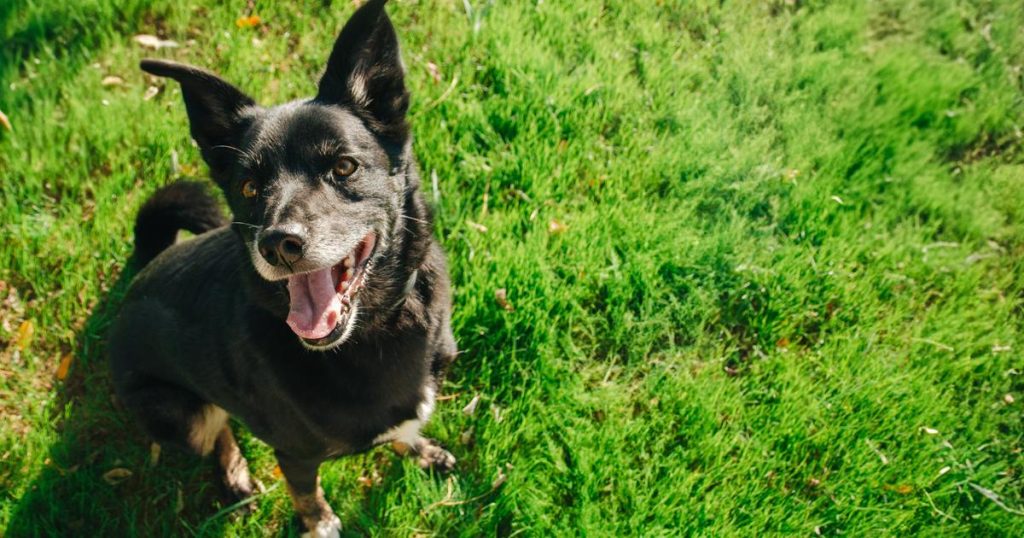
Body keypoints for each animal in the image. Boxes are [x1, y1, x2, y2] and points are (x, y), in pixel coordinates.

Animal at [108, 3, 456, 532]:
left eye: (344, 167)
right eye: (249, 187)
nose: (277, 245)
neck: (376, 330)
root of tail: (139, 273)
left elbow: (403, 429)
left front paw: (419, 450)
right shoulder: (294, 454)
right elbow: (306, 494)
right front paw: (320, 525)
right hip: (181, 415)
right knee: (217, 427)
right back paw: (235, 473)